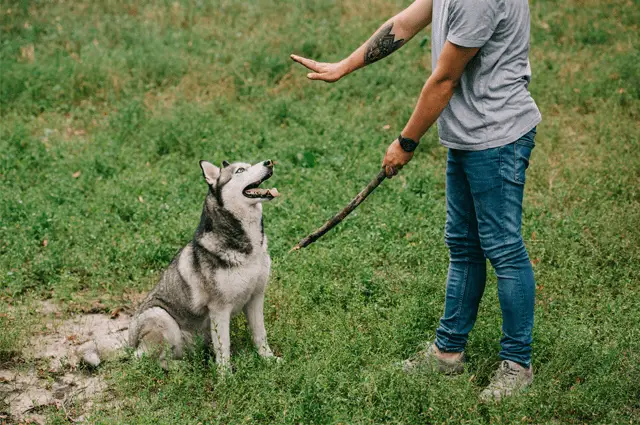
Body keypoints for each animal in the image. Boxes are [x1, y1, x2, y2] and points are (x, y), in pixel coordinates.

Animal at [128, 159, 280, 368]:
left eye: (249, 164)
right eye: (240, 170)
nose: (269, 162)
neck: (248, 247)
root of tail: (129, 345)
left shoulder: (256, 297)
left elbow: (260, 334)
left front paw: (269, 359)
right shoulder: (219, 309)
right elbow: (224, 348)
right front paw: (225, 375)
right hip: (161, 316)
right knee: (156, 361)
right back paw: (183, 368)